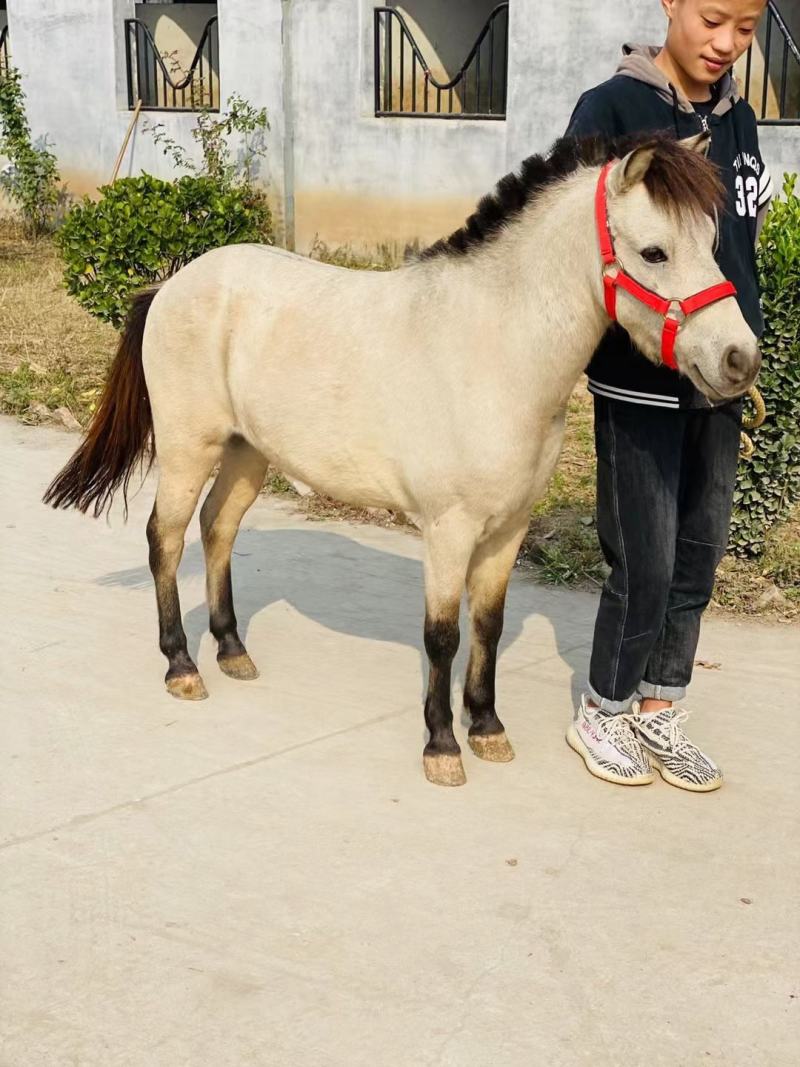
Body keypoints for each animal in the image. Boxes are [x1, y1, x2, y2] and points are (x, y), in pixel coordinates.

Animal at [45, 132, 761, 787]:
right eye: (654, 251)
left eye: (711, 241)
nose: (739, 360)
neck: (494, 348)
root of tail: (170, 285)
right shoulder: (449, 529)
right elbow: (442, 634)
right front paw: (442, 747)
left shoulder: (508, 529)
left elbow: (489, 626)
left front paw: (488, 728)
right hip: (188, 450)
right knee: (164, 539)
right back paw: (182, 666)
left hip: (248, 454)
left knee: (217, 530)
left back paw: (232, 649)